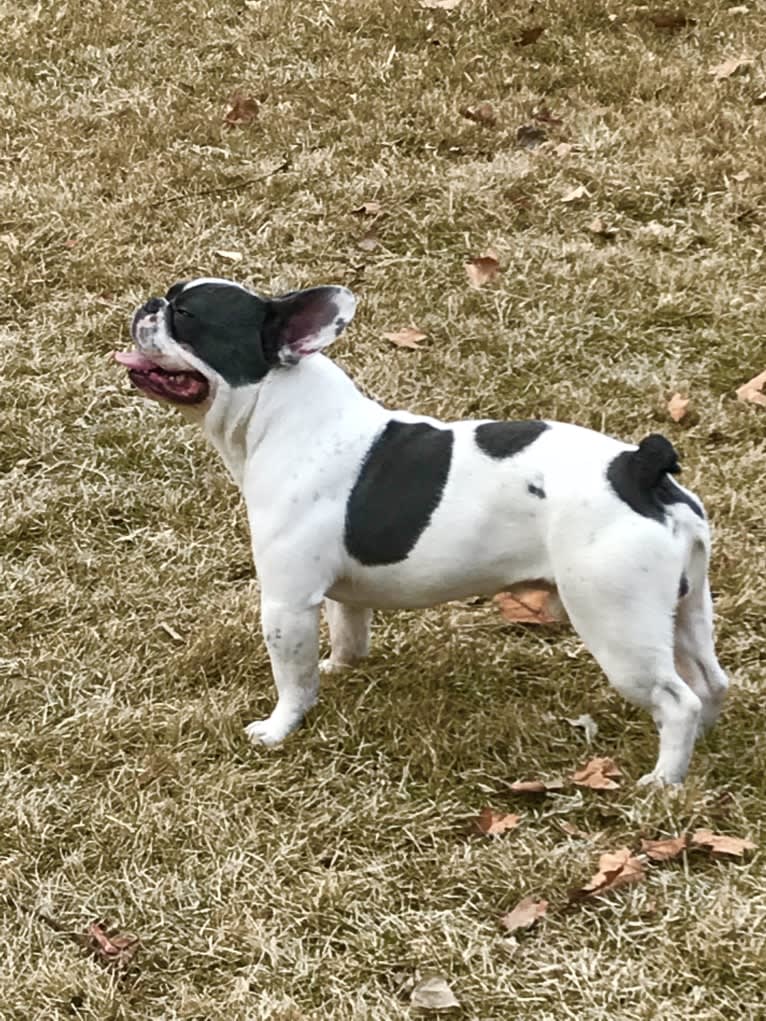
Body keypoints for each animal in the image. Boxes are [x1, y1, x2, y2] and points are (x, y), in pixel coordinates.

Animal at [116, 277, 727, 780]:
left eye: (185, 315)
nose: (149, 304)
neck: (281, 412)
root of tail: (641, 471)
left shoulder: (286, 603)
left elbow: (292, 675)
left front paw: (279, 728)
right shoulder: (338, 594)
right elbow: (347, 631)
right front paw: (340, 668)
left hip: (616, 622)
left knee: (677, 700)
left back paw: (662, 783)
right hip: (686, 607)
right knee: (709, 681)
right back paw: (702, 749)